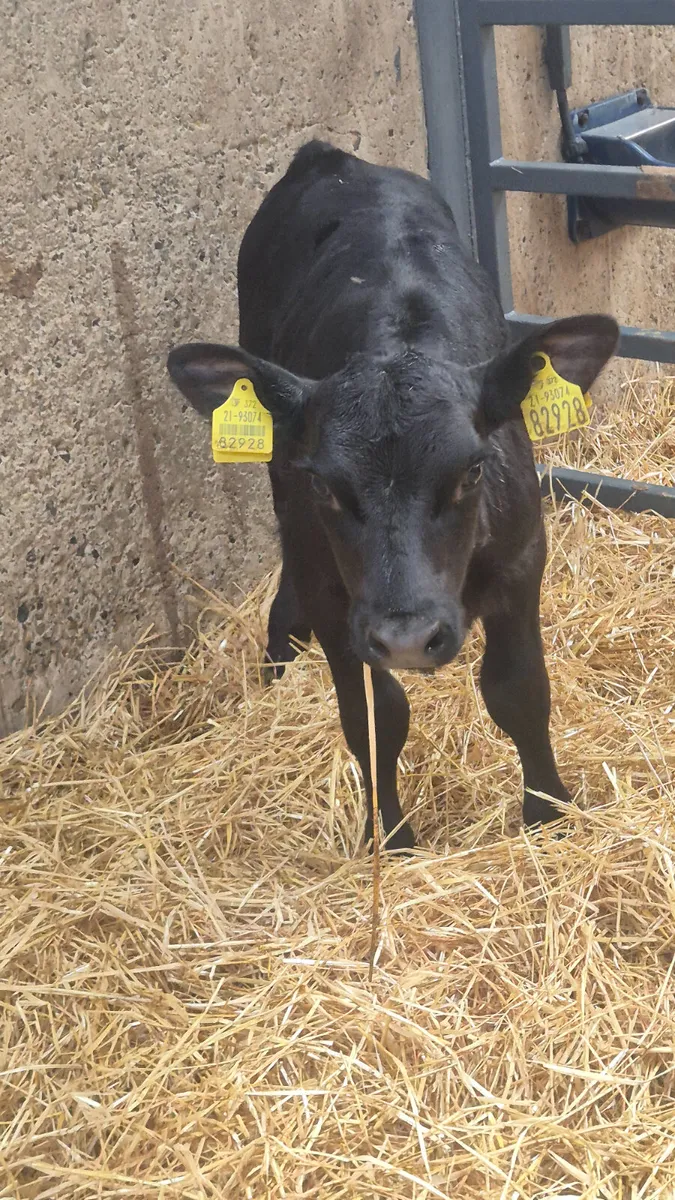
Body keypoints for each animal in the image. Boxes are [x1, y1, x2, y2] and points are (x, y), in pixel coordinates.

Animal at [167, 141, 618, 852]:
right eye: (323, 483)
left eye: (473, 470)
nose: (407, 638)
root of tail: (328, 156)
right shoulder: (336, 599)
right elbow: (375, 717)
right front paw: (392, 838)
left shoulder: (522, 559)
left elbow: (519, 691)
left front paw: (548, 817)